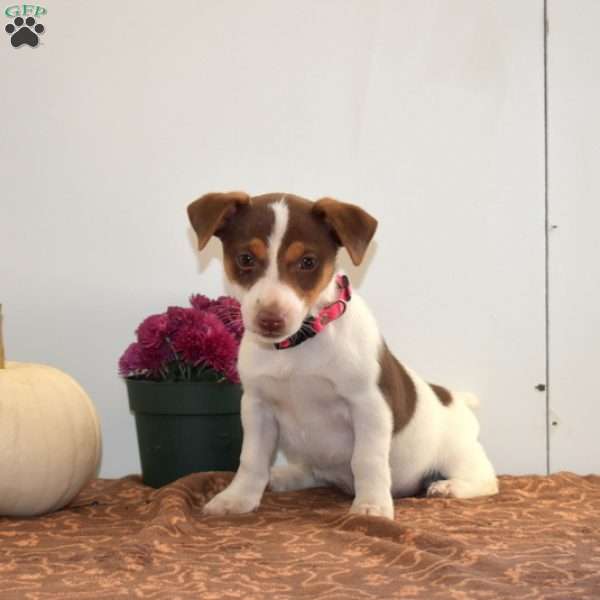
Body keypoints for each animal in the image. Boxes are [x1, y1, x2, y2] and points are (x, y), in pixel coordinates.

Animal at [188, 190, 496, 516]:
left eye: (308, 262)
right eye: (245, 258)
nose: (270, 320)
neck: (299, 343)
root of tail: (456, 397)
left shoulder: (369, 405)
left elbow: (367, 461)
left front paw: (372, 506)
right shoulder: (257, 407)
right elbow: (251, 460)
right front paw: (238, 498)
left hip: (458, 455)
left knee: (486, 478)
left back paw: (449, 487)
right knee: (311, 472)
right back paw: (285, 476)